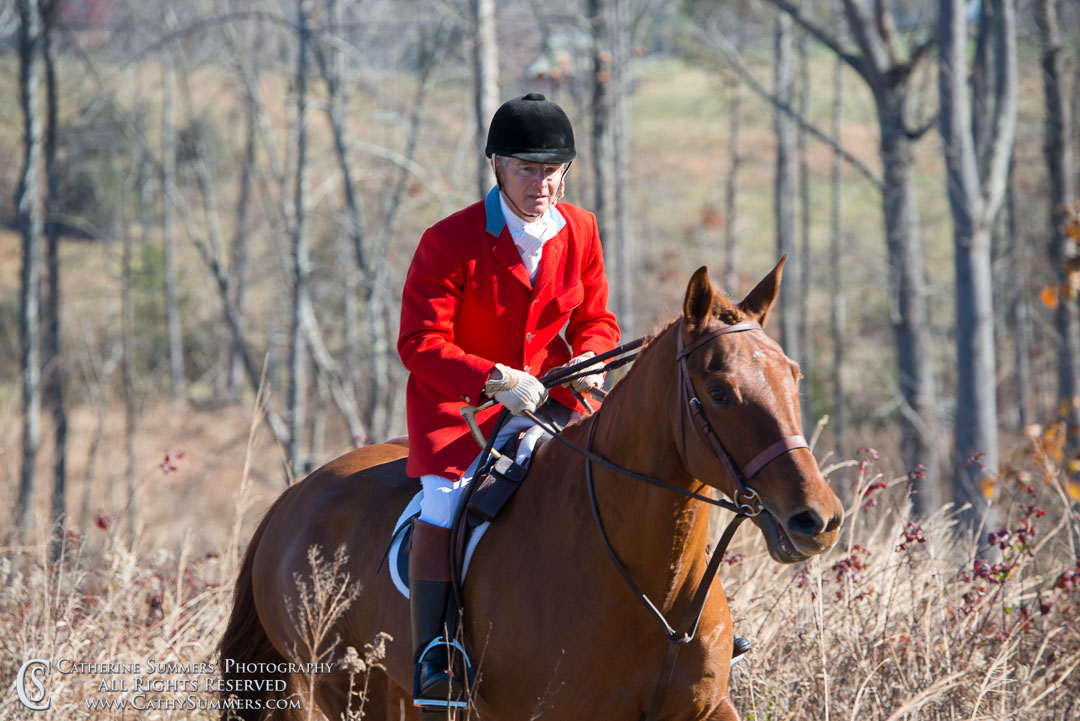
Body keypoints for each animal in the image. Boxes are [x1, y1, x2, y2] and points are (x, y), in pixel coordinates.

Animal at [219, 262, 842, 721]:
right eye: (718, 392)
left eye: (793, 377)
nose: (818, 519)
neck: (650, 586)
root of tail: (292, 500)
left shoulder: (707, 709)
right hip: (341, 688)